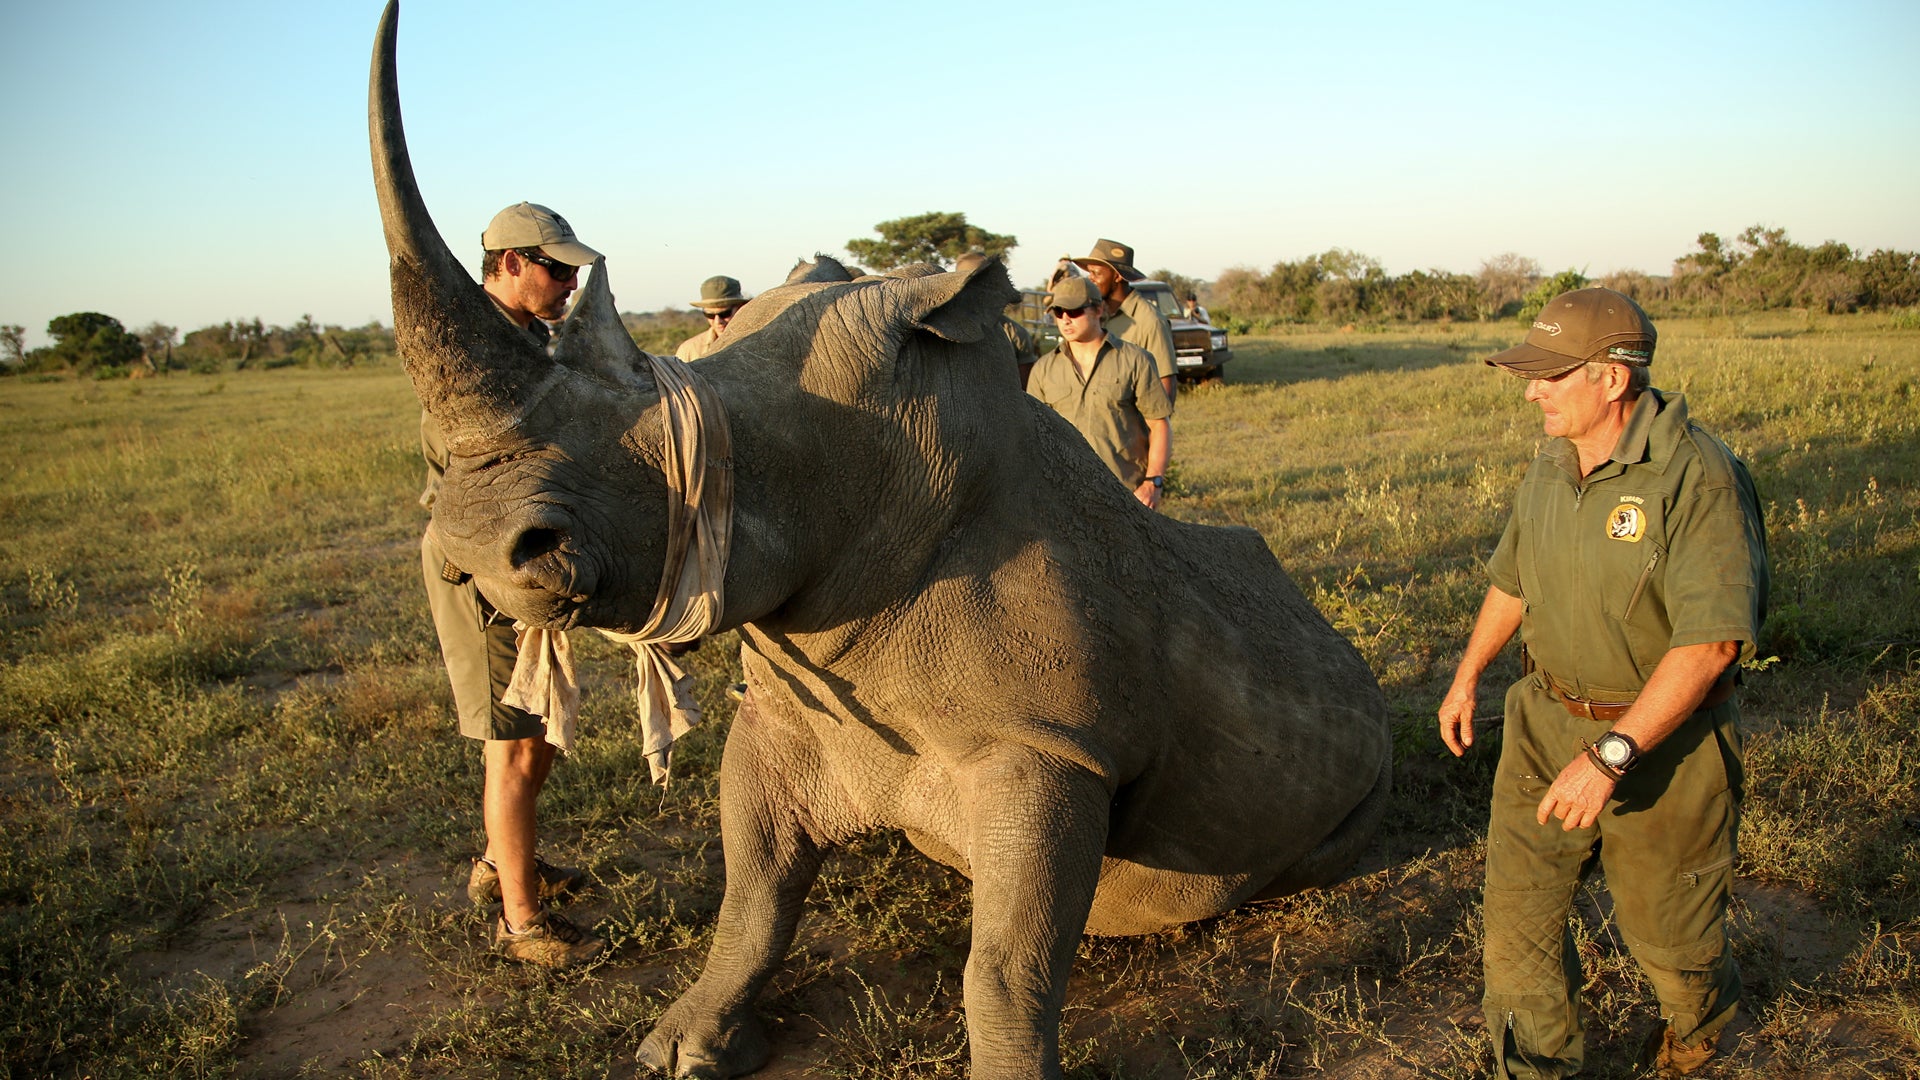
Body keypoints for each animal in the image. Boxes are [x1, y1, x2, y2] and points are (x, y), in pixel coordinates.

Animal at [370, 4, 1392, 1075]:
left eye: (695, 442)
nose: (475, 548)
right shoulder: (789, 711)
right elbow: (752, 900)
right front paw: (680, 1049)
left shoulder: (1050, 750)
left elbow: (1006, 965)